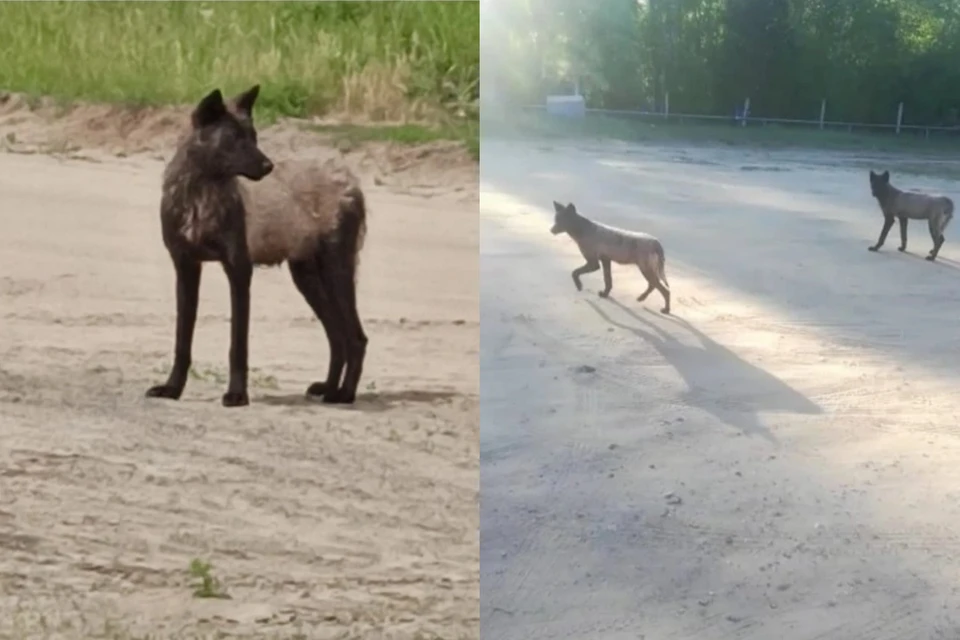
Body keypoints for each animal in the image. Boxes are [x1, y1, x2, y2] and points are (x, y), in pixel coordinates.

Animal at [148, 85, 370, 408]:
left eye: (254, 136)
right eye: (234, 139)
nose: (268, 166)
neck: (200, 194)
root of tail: (350, 180)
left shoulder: (239, 270)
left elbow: (238, 344)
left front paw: (237, 394)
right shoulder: (186, 267)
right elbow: (182, 340)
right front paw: (172, 389)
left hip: (336, 270)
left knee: (355, 338)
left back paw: (344, 394)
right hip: (307, 276)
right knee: (337, 336)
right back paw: (329, 387)